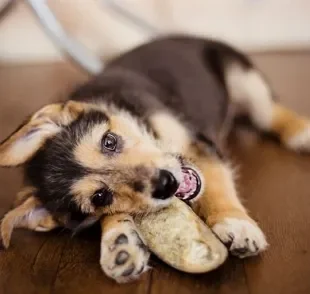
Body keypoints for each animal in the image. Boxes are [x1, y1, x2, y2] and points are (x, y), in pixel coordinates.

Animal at [0, 36, 310, 282]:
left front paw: (235, 223)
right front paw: (119, 244)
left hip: (244, 80)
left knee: (269, 111)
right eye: (101, 197)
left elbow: (217, 186)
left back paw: (300, 131)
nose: (166, 183)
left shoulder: (197, 145)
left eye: (109, 141)